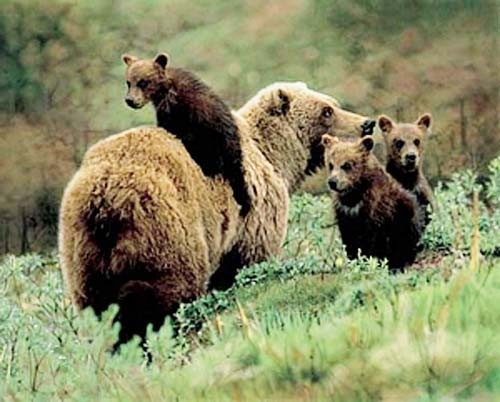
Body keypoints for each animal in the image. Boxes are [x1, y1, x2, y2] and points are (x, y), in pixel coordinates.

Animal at [58, 81, 374, 342]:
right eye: (326, 111)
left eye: (332, 103)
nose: (367, 124)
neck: (275, 156)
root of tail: (106, 197)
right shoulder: (253, 215)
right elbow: (246, 263)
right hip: (167, 230)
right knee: (167, 295)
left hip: (82, 255)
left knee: (98, 310)